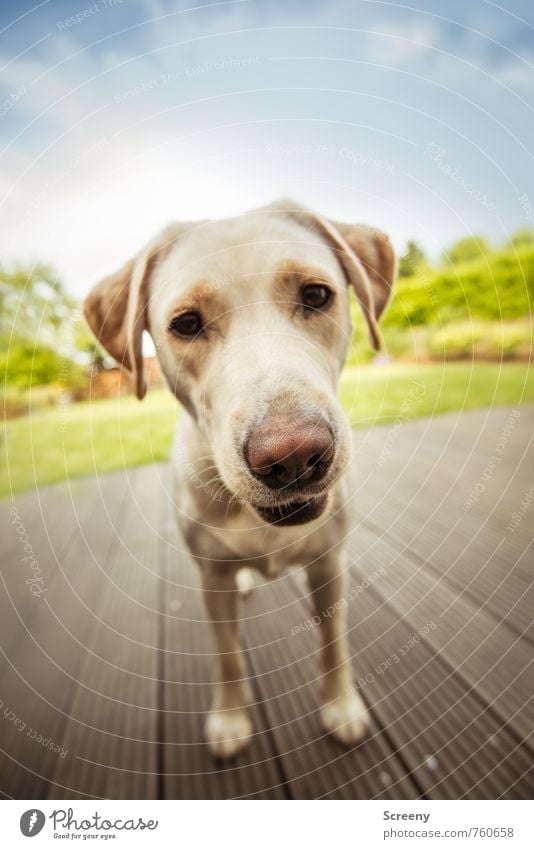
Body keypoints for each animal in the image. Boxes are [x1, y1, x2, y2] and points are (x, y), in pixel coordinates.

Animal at [81, 199, 396, 756]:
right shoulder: (212, 580)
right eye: (186, 323)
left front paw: (341, 707)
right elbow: (227, 656)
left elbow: (333, 643)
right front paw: (231, 719)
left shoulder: (328, 565)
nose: (293, 455)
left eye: (316, 295)